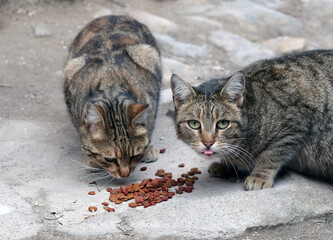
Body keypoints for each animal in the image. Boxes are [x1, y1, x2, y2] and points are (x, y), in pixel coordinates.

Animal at [63, 15, 161, 178]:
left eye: (134, 156)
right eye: (110, 159)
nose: (125, 174)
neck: (110, 86)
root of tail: (115, 15)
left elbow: (150, 125)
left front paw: (148, 148)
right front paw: (92, 160)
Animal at [171, 49, 332, 190]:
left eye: (223, 124)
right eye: (194, 124)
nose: (208, 143)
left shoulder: (294, 127)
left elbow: (271, 155)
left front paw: (259, 176)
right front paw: (226, 164)